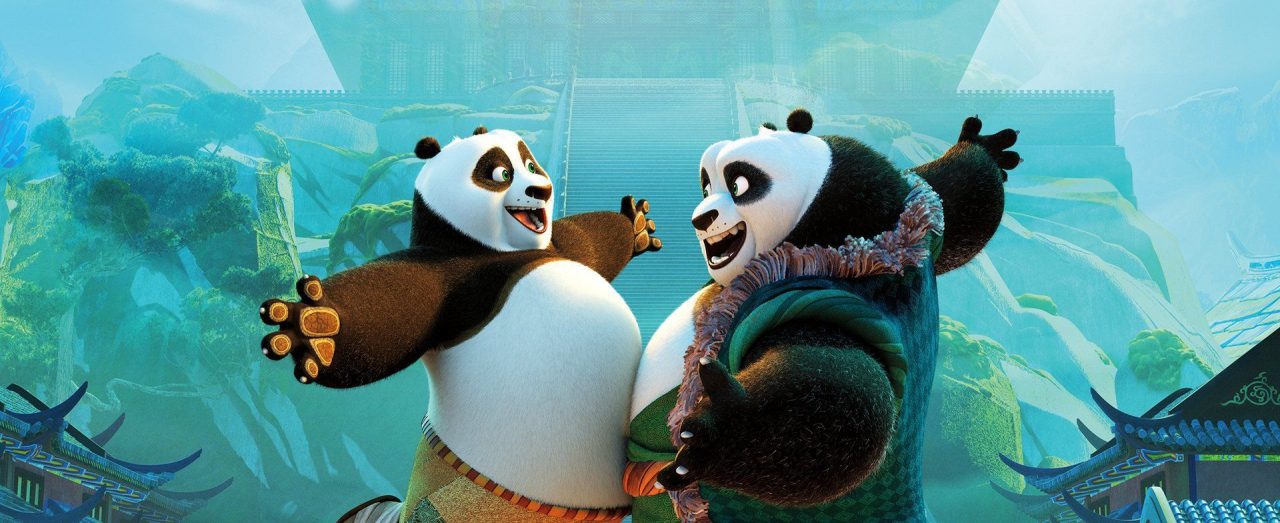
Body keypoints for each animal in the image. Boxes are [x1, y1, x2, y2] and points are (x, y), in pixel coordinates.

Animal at [258, 127, 662, 522]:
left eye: (531, 165)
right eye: (500, 174)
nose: (542, 190)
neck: (496, 250)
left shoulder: (560, 247)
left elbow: (589, 240)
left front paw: (636, 225)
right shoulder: (447, 280)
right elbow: (390, 307)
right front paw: (317, 327)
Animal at [624, 110, 1019, 523]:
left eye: (739, 184)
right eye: (706, 186)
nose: (702, 219)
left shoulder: (827, 300)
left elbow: (840, 396)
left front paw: (726, 428)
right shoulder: (917, 218)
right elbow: (954, 195)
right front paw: (986, 148)